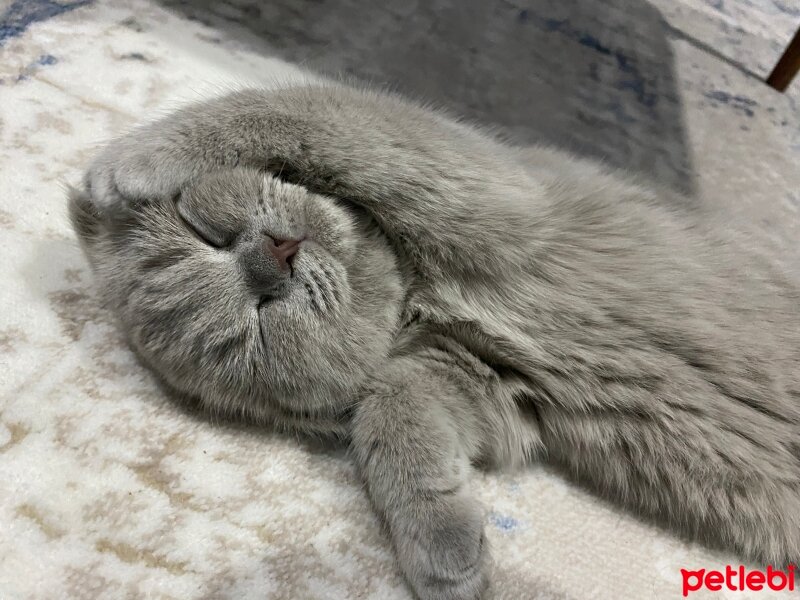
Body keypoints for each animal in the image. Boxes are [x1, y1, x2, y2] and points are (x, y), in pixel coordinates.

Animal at [69, 83, 800, 600]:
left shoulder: (486, 183)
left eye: (205, 234)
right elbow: (393, 416)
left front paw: (131, 162)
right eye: (258, 323)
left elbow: (316, 110)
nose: (273, 257)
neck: (420, 297)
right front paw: (449, 556)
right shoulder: (475, 382)